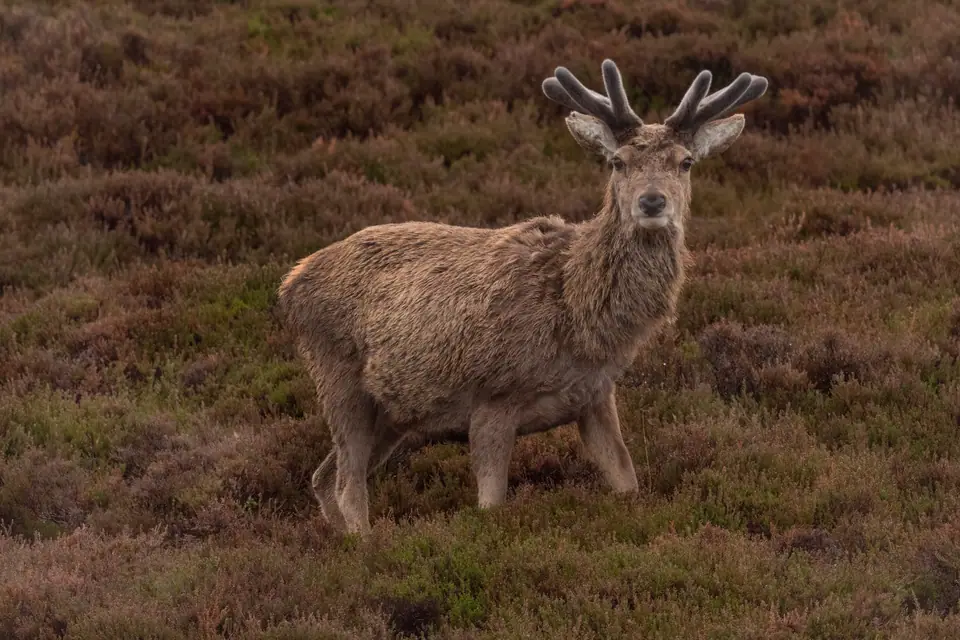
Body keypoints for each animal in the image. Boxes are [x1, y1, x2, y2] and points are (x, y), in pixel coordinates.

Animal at [277, 58, 768, 535]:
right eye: (617, 161)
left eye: (686, 162)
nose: (651, 202)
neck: (577, 317)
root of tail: (290, 283)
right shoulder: (493, 396)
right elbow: (490, 506)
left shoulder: (595, 396)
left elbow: (628, 482)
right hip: (338, 377)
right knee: (347, 488)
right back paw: (367, 547)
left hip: (393, 413)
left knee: (324, 478)